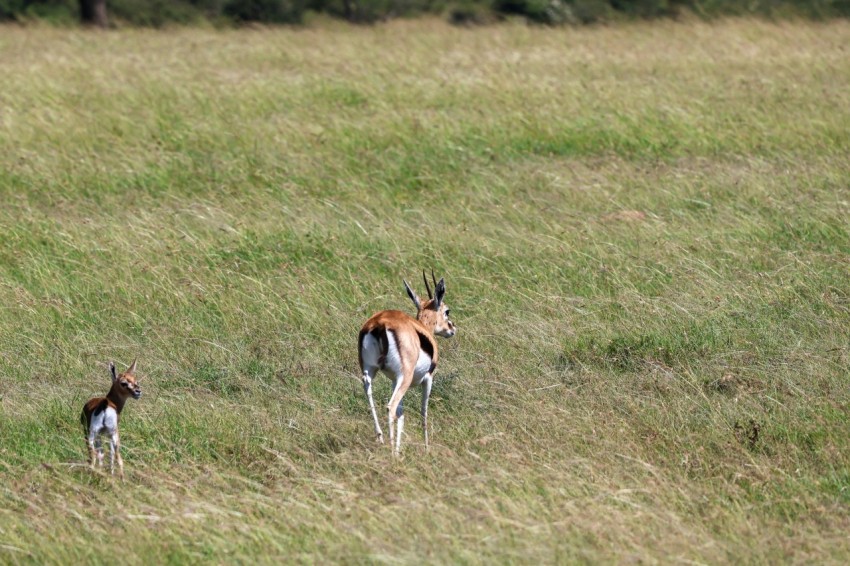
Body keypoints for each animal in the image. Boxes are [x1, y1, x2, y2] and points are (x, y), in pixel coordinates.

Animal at [358, 271, 456, 455]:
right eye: (447, 311)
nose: (452, 328)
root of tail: (380, 323)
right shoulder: (428, 378)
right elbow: (423, 412)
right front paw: (426, 449)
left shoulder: (394, 380)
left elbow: (401, 413)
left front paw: (399, 449)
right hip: (405, 376)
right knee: (390, 407)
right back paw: (390, 450)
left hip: (370, 370)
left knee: (369, 392)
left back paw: (381, 439)